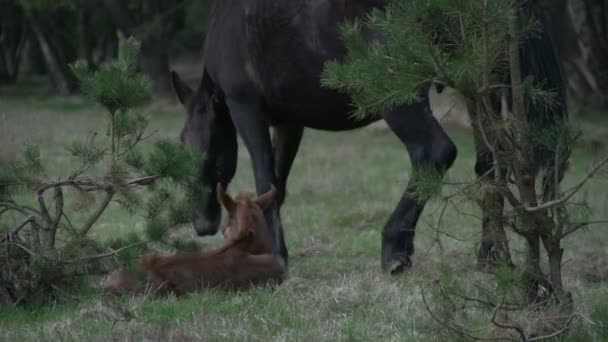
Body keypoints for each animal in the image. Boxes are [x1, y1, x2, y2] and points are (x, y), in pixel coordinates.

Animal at [170, 0, 564, 272]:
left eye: (192, 149)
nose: (201, 224)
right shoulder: (289, 122)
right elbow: (278, 186)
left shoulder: (246, 108)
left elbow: (265, 178)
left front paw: (275, 257)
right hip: (478, 82)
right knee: (490, 164)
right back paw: (490, 256)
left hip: (400, 92)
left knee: (434, 152)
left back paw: (396, 248)